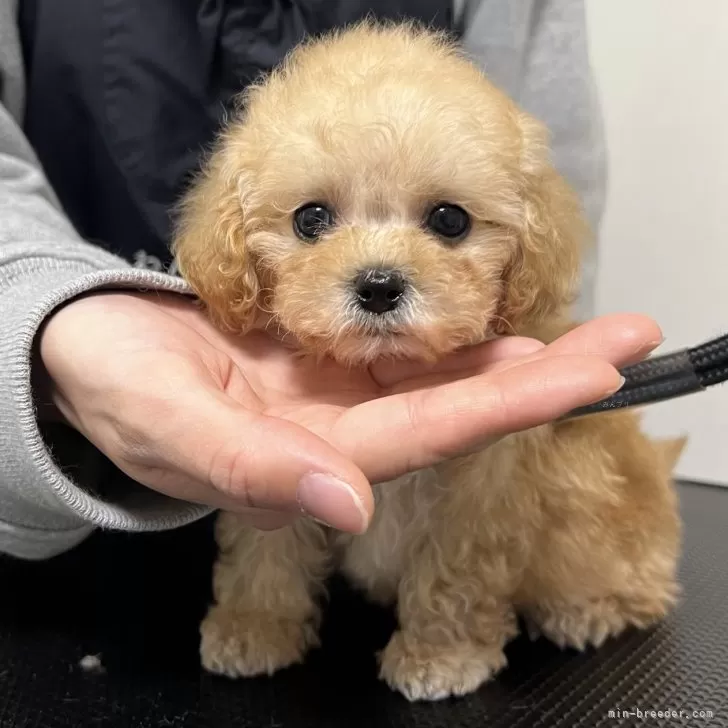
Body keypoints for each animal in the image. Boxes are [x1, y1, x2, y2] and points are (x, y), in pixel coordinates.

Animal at [173, 25, 684, 704]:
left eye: (449, 220)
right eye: (311, 219)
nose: (379, 286)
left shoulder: (478, 500)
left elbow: (454, 577)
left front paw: (440, 658)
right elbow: (266, 551)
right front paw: (252, 629)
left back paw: (586, 611)